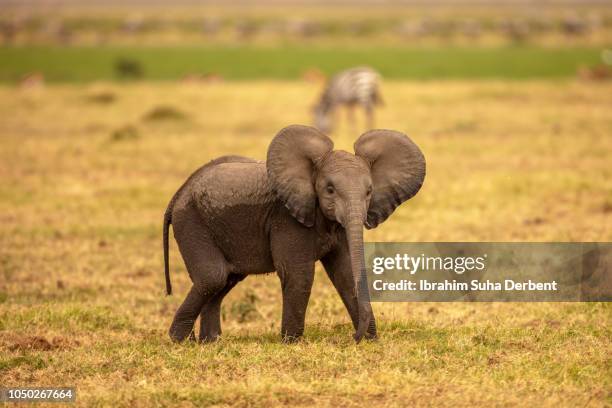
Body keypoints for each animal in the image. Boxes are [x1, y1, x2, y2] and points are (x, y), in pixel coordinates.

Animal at [163, 126, 426, 342]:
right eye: (329, 189)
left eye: (369, 191)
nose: (354, 336)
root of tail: (178, 194)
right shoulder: (287, 218)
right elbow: (298, 273)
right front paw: (292, 342)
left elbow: (344, 273)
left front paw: (371, 339)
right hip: (192, 222)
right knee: (213, 277)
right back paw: (181, 340)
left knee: (226, 279)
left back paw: (210, 342)